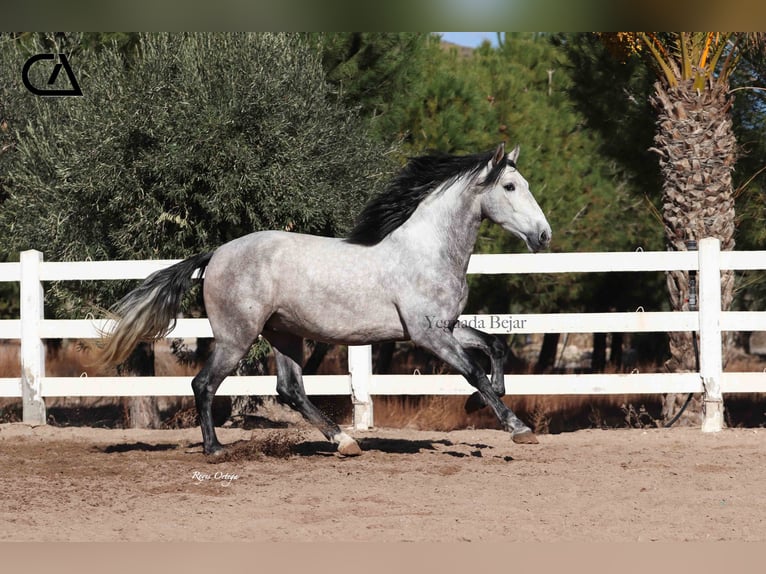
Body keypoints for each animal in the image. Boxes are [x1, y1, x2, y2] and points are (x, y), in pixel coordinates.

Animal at [99, 145, 552, 460]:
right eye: (510, 187)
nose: (544, 235)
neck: (427, 251)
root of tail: (216, 254)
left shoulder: (444, 326)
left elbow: (495, 347)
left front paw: (479, 403)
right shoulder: (427, 335)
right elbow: (473, 370)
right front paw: (517, 428)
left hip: (283, 334)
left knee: (289, 389)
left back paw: (345, 441)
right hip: (236, 337)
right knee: (204, 384)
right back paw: (216, 450)